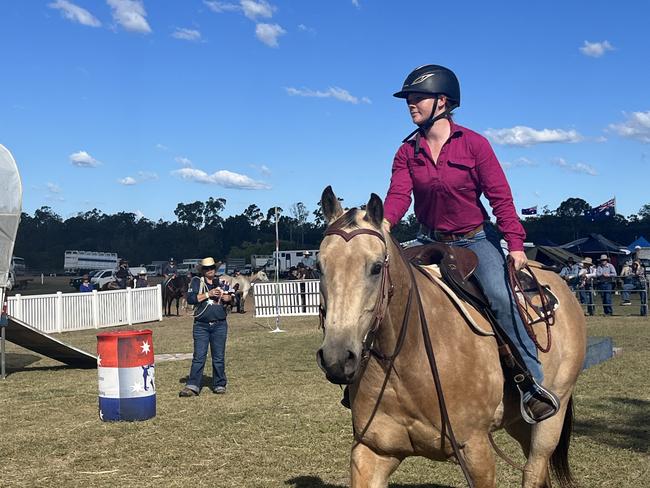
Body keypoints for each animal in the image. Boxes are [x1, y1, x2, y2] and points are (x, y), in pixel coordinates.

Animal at [316, 186, 584, 488]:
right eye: (319, 266)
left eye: (375, 267)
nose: (337, 358)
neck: (408, 359)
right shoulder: (372, 451)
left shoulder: (476, 451)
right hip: (519, 422)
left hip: (551, 418)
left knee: (534, 470)